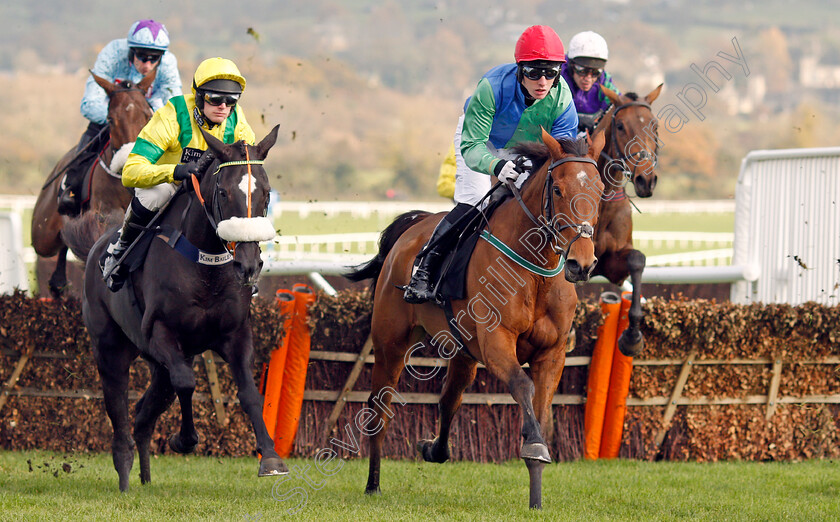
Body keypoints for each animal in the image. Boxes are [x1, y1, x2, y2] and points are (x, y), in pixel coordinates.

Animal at [30, 69, 154, 296]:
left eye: (148, 116)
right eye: (110, 119)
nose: (129, 163)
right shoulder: (103, 210)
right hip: (42, 233)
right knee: (58, 240)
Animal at [65, 125, 286, 488]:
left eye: (266, 193)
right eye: (223, 192)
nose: (248, 265)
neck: (205, 265)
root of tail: (97, 244)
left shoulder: (235, 334)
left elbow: (250, 393)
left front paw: (270, 457)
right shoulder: (162, 334)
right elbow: (187, 382)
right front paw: (185, 440)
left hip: (157, 364)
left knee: (143, 413)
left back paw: (145, 478)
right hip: (111, 349)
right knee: (120, 410)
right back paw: (125, 473)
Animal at [346, 128, 604, 506]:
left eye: (600, 190)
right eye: (558, 190)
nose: (581, 264)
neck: (537, 272)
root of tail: (412, 225)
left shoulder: (552, 354)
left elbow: (540, 411)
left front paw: (536, 496)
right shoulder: (497, 342)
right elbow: (522, 386)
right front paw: (534, 447)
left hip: (463, 353)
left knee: (448, 399)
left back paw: (433, 449)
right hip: (390, 344)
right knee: (380, 408)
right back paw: (373, 484)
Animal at [592, 83, 664, 356]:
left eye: (655, 126)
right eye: (621, 126)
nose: (646, 180)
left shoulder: (610, 265)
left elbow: (637, 260)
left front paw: (632, 337)